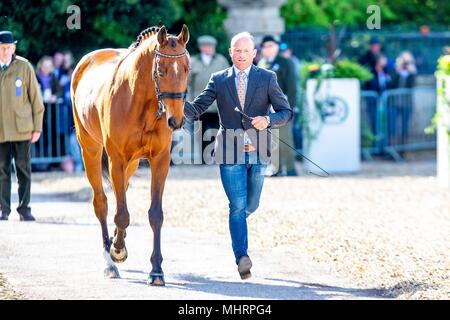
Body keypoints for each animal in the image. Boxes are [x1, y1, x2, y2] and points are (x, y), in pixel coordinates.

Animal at [71, 25, 190, 284]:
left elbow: (155, 214)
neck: (141, 101)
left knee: (120, 193)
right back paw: (109, 259)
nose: (175, 120)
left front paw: (156, 269)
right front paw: (116, 250)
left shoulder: (159, 161)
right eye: (161, 71)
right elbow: (121, 214)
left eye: (187, 68)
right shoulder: (116, 159)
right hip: (91, 151)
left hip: (133, 163)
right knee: (102, 203)